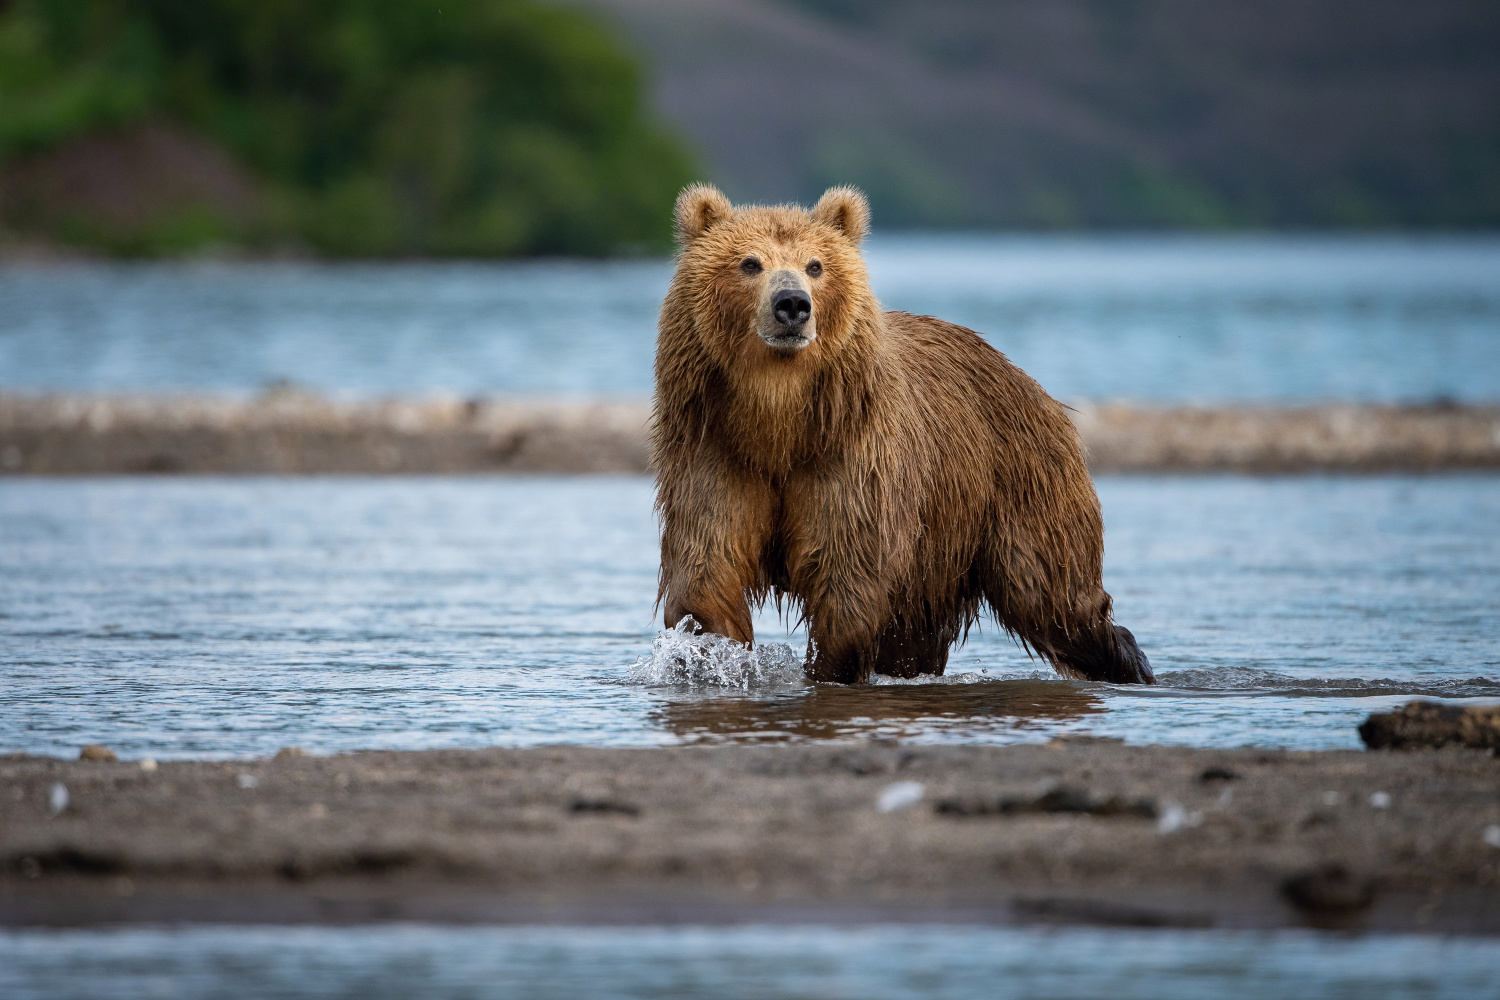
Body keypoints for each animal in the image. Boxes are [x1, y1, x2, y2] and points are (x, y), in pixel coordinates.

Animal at [651, 185, 1152, 689]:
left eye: (816, 265)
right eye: (750, 262)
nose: (792, 304)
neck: (778, 422)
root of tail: (1037, 390)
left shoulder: (853, 457)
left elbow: (848, 574)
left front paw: (826, 670)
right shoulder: (717, 452)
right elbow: (707, 569)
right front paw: (711, 653)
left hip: (1016, 488)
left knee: (1053, 595)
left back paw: (1131, 664)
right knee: (919, 632)